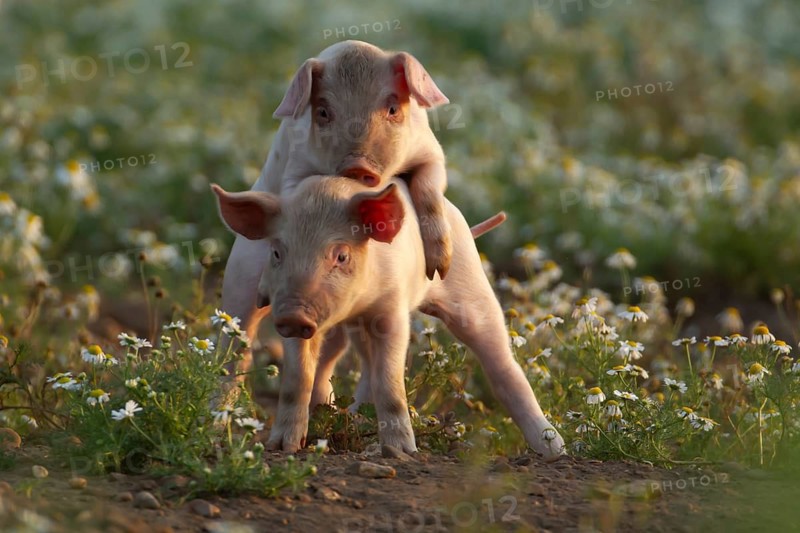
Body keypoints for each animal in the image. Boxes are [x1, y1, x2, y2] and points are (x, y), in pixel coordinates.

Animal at [212, 178, 566, 458]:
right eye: (276, 252)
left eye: (341, 255)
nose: (294, 314)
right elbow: (298, 378)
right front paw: (283, 447)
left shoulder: (392, 312)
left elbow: (390, 379)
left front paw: (401, 452)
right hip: (351, 331)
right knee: (356, 366)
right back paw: (351, 421)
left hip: (470, 287)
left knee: (501, 363)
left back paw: (553, 450)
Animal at [220, 40, 454, 378]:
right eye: (323, 112)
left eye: (393, 109)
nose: (357, 165)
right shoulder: (296, 166)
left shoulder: (429, 152)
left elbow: (430, 188)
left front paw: (439, 269)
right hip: (239, 277)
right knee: (237, 340)